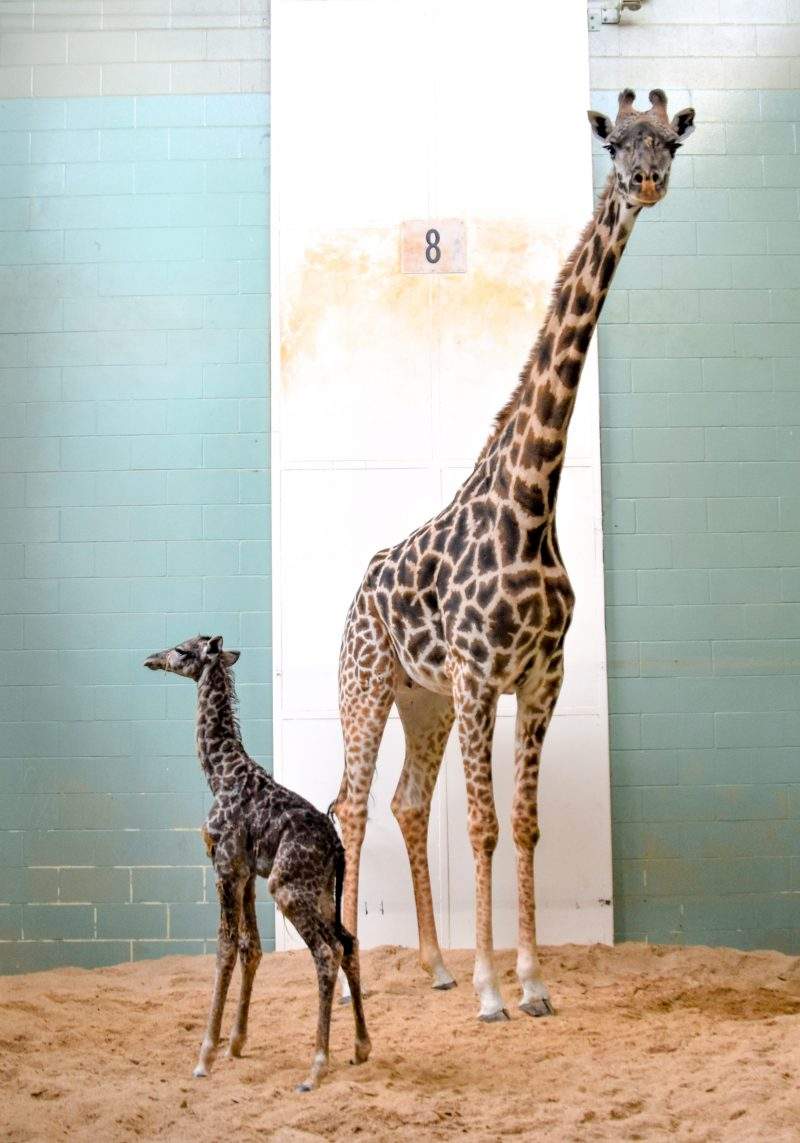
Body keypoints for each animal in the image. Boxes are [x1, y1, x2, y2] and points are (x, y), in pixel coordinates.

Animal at [144, 634, 370, 1092]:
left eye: (181, 650)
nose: (152, 659)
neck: (220, 774)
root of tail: (337, 848)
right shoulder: (245, 872)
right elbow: (252, 947)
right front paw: (235, 1042)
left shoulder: (225, 865)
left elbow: (226, 947)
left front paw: (205, 1056)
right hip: (321, 891)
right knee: (349, 941)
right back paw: (360, 1048)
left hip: (287, 888)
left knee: (327, 951)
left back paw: (316, 1067)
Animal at [331, 89, 695, 1021]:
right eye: (616, 143)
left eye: (670, 142)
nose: (646, 184)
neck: (533, 503)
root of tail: (357, 589)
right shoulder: (477, 676)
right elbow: (484, 824)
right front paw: (493, 990)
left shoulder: (538, 678)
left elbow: (524, 823)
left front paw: (530, 980)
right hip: (369, 684)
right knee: (352, 803)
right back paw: (352, 968)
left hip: (420, 701)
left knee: (403, 802)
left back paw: (433, 962)